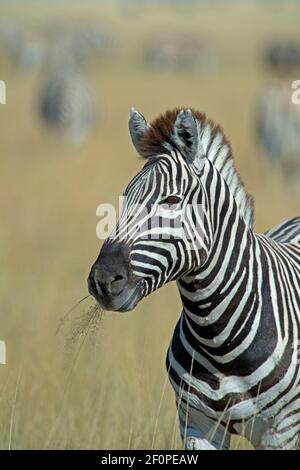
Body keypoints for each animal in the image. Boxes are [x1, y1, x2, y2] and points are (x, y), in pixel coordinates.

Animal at [88, 108, 300, 450]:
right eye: (125, 197)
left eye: (172, 200)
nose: (103, 280)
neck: (218, 337)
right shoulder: (197, 424)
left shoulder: (280, 432)